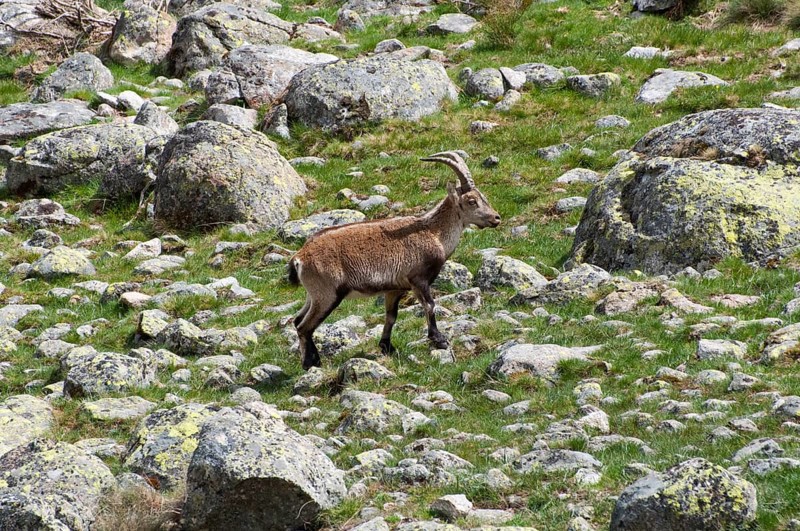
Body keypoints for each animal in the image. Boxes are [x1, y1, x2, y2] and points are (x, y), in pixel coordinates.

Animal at [287, 151, 501, 370]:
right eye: (472, 201)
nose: (496, 218)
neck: (434, 233)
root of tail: (299, 257)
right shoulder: (418, 279)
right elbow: (430, 305)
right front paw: (439, 339)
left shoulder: (394, 288)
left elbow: (391, 316)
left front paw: (387, 346)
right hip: (328, 294)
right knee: (304, 326)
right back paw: (310, 363)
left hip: (313, 294)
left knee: (297, 320)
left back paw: (313, 360)